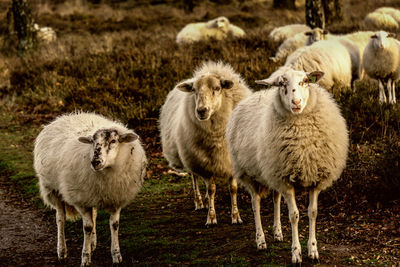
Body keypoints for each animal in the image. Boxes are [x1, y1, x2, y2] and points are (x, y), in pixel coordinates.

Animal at [34, 112, 147, 267]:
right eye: (92, 141)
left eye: (113, 141)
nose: (95, 162)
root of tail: (65, 117)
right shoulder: (82, 200)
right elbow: (87, 227)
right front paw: (85, 258)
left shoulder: (115, 198)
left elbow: (114, 225)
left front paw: (116, 255)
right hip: (53, 190)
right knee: (60, 219)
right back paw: (62, 251)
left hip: (91, 194)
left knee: (93, 215)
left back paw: (92, 243)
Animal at [159, 60, 250, 226]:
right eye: (194, 90)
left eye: (217, 88)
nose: (201, 111)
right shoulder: (203, 164)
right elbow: (211, 189)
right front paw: (211, 217)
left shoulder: (230, 161)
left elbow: (233, 188)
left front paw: (236, 216)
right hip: (191, 156)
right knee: (194, 177)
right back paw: (200, 202)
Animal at [227, 68, 348, 264]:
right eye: (282, 84)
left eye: (305, 81)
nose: (296, 102)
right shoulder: (286, 181)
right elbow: (294, 215)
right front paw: (296, 253)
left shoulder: (313, 178)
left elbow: (313, 212)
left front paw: (313, 250)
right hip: (248, 174)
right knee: (255, 204)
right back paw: (260, 240)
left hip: (272, 170)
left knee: (275, 199)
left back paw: (277, 233)